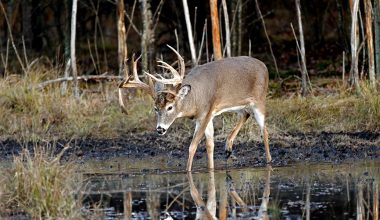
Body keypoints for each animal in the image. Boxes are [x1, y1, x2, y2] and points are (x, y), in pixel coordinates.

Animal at [120, 45, 272, 171]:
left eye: (170, 107)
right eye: (155, 108)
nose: (160, 129)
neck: (194, 99)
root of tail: (264, 66)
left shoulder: (206, 113)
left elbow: (193, 146)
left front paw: (187, 171)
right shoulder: (205, 116)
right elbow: (210, 145)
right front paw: (211, 168)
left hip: (260, 99)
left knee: (264, 130)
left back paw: (268, 160)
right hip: (238, 104)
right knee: (245, 113)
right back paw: (228, 147)